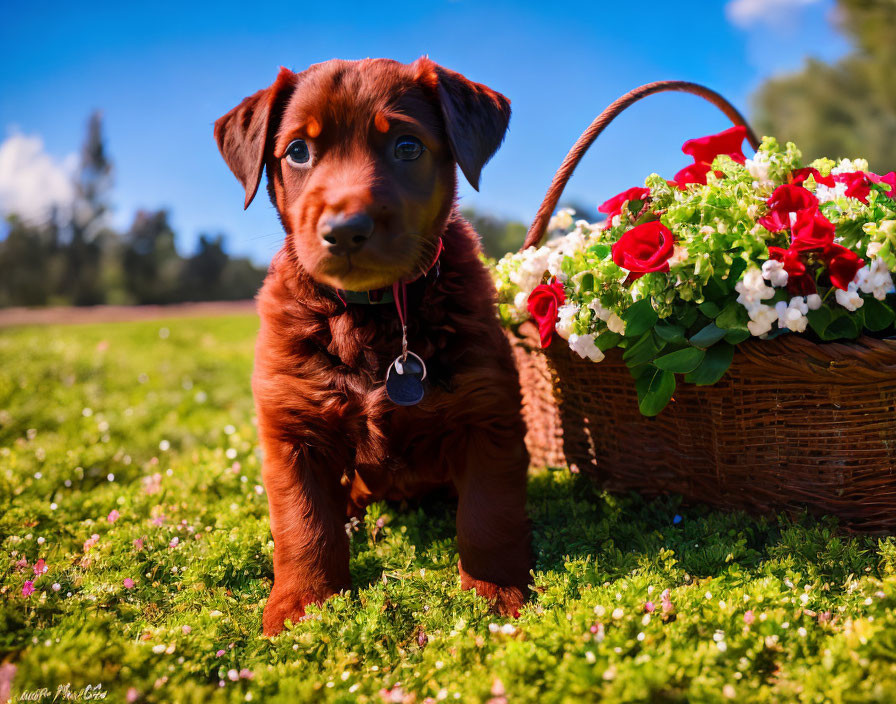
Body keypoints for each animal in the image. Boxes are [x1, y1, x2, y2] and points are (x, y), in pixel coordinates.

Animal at [214, 57, 528, 636]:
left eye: (407, 146)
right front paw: (302, 605)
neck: (372, 313)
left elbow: (487, 514)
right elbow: (303, 526)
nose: (345, 229)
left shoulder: (487, 415)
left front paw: (495, 591)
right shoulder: (292, 429)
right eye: (298, 150)